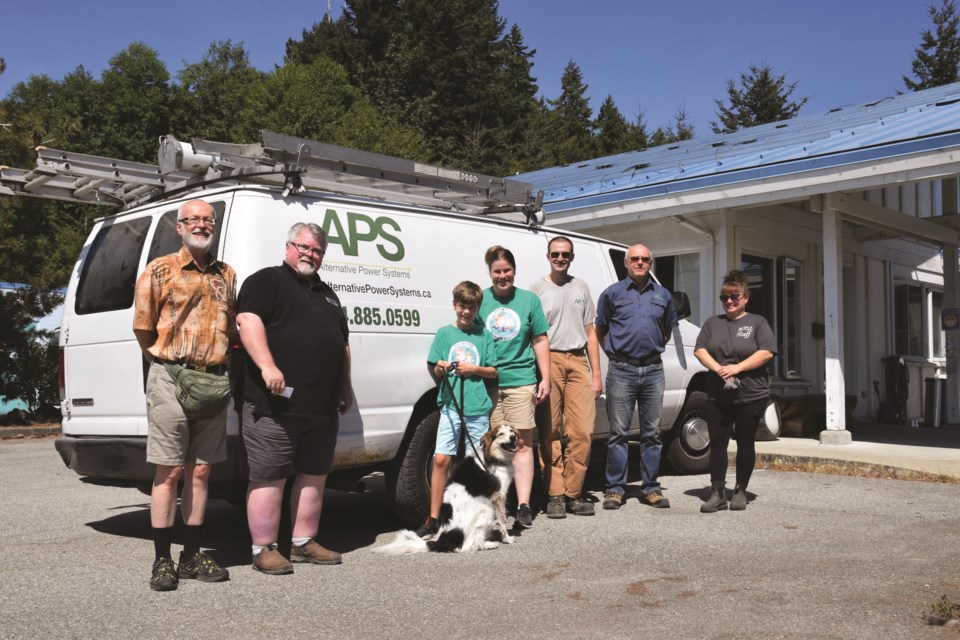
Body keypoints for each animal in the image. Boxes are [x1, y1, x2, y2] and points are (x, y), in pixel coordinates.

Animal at [376, 422, 516, 552]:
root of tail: (444, 539)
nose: (513, 437)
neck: (492, 457)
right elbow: (502, 521)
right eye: (501, 434)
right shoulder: (499, 495)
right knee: (467, 545)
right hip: (485, 510)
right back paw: (489, 544)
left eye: (511, 430)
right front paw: (507, 539)